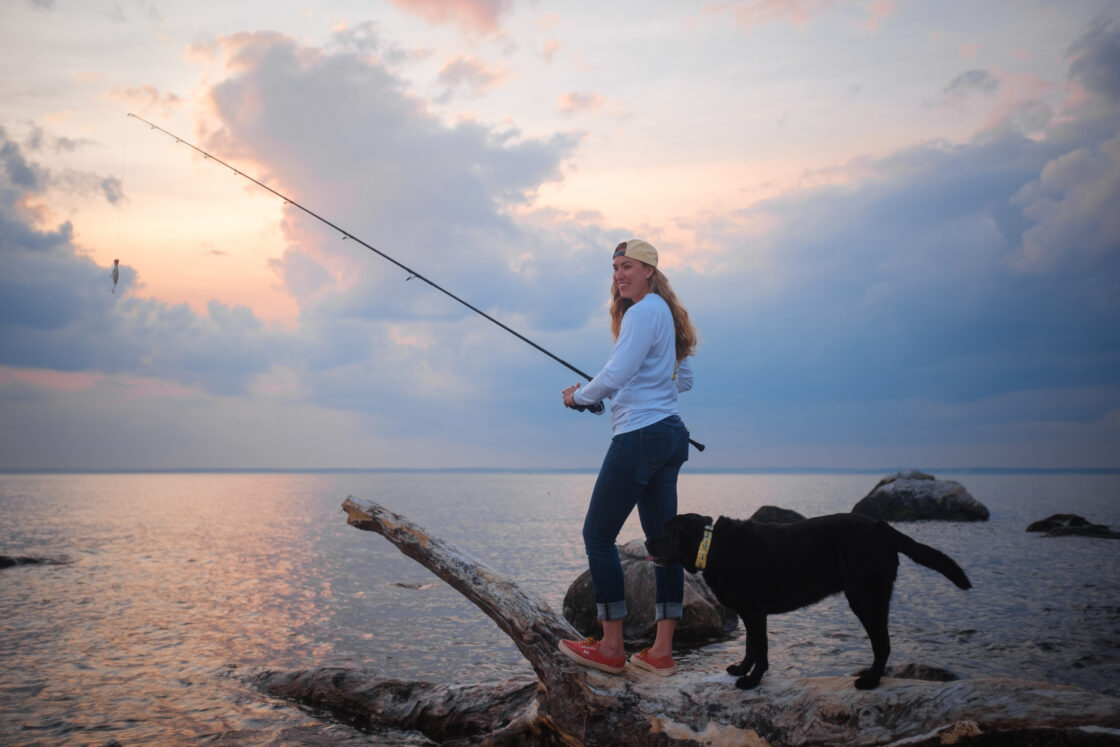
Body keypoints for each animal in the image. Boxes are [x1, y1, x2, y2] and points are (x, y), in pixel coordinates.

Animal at [649, 515, 972, 689]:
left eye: (665, 532)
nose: (646, 541)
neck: (711, 545)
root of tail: (882, 527)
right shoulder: (750, 614)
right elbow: (750, 647)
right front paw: (741, 669)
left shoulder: (755, 613)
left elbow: (761, 650)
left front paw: (752, 681)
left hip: (866, 598)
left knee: (883, 644)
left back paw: (870, 681)